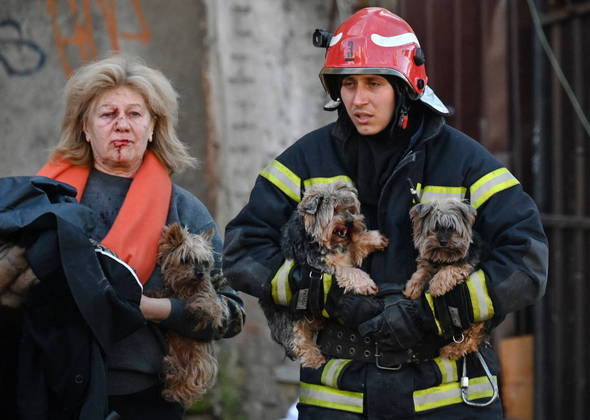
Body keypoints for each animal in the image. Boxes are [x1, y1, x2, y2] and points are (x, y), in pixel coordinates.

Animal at [151, 223, 228, 406]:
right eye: (185, 260)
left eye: (205, 263)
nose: (200, 273)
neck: (186, 289)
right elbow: (164, 293)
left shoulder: (214, 303)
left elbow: (211, 304)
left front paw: (200, 307)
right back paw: (171, 370)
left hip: (200, 361)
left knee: (190, 378)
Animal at [262, 180, 390, 368]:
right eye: (335, 209)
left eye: (350, 209)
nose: (350, 221)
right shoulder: (320, 265)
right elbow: (347, 270)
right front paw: (365, 283)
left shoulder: (344, 248)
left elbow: (353, 244)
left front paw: (372, 239)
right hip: (288, 319)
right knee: (298, 340)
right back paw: (314, 358)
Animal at [404, 199, 488, 360]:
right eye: (435, 228)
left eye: (452, 229)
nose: (443, 241)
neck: (443, 257)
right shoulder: (428, 262)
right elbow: (422, 271)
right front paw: (413, 287)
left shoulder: (464, 264)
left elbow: (448, 270)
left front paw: (436, 286)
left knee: (472, 334)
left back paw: (452, 349)